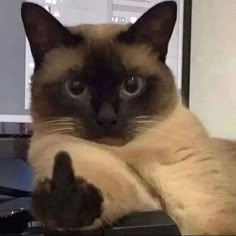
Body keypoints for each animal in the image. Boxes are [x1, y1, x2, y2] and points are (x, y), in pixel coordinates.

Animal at [21, 1, 236, 234]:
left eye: (132, 85)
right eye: (76, 88)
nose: (106, 118)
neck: (130, 153)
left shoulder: (212, 217)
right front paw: (65, 202)